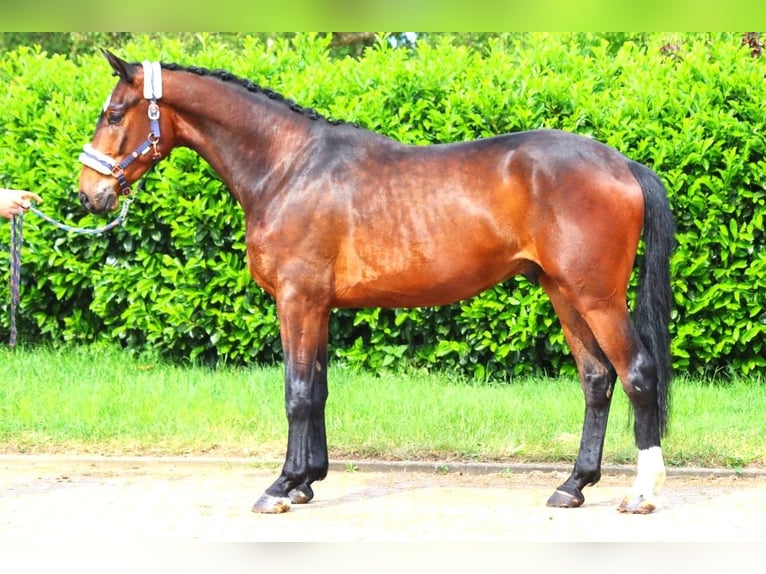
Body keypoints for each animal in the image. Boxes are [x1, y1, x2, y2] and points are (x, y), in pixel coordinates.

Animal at [79, 50, 680, 516]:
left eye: (113, 113)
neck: (288, 168)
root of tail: (621, 163)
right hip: (563, 292)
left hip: (596, 296)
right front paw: (306, 483)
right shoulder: (318, 306)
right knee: (597, 379)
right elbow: (318, 389)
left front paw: (280, 487)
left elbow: (297, 393)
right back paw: (573, 486)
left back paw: (642, 493)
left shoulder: (297, 300)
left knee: (637, 373)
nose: (88, 194)